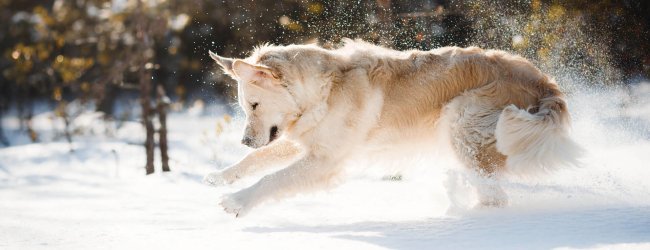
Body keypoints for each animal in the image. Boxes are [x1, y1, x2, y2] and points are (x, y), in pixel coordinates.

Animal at [204, 39, 584, 217]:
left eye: (254, 105)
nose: (244, 140)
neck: (322, 90)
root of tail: (544, 83)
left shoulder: (325, 161)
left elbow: (272, 179)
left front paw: (237, 201)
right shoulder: (307, 141)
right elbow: (258, 161)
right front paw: (220, 177)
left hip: (461, 120)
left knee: (494, 196)